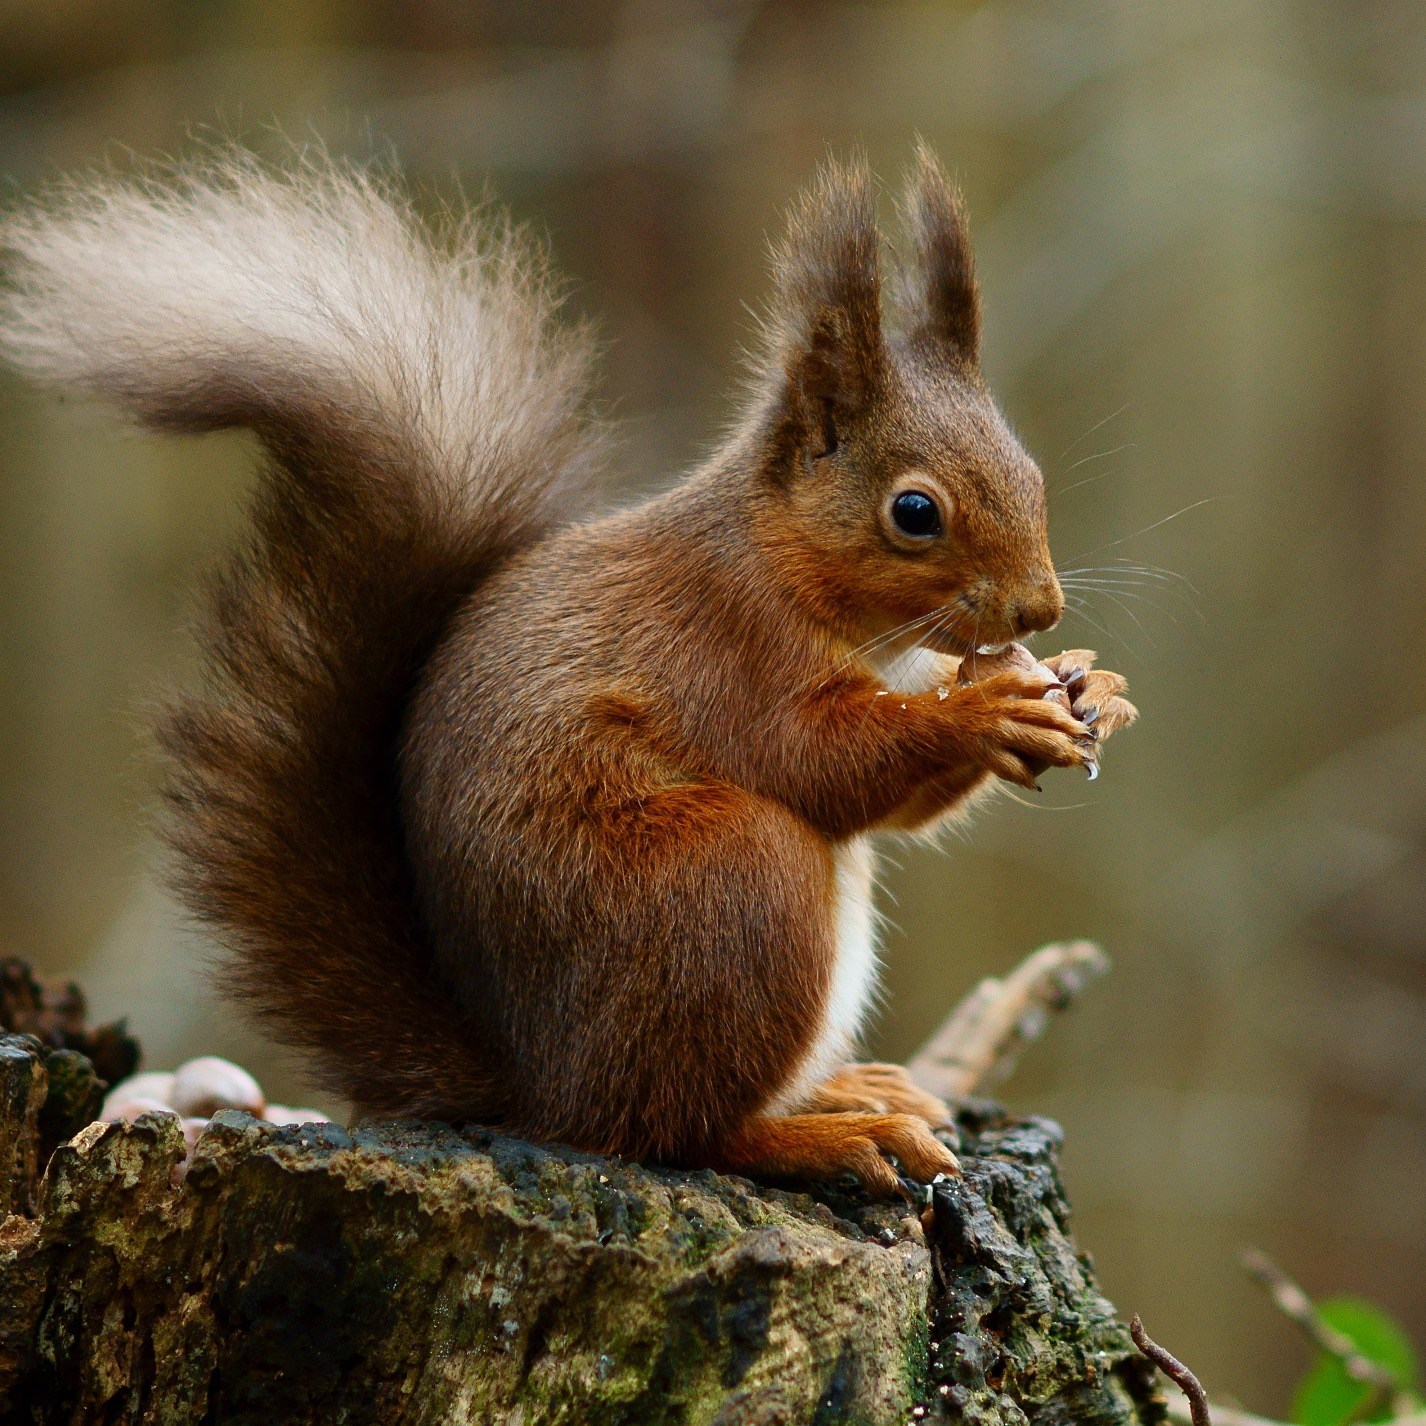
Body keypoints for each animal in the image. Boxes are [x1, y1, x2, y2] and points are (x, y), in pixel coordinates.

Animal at [0, 145, 1135, 1195]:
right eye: (914, 511)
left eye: (1029, 471)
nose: (1039, 608)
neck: (796, 575)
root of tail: (538, 1084)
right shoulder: (724, 647)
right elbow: (819, 761)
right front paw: (986, 710)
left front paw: (1091, 688)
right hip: (727, 883)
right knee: (672, 1131)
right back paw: (822, 1133)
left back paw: (846, 1089)